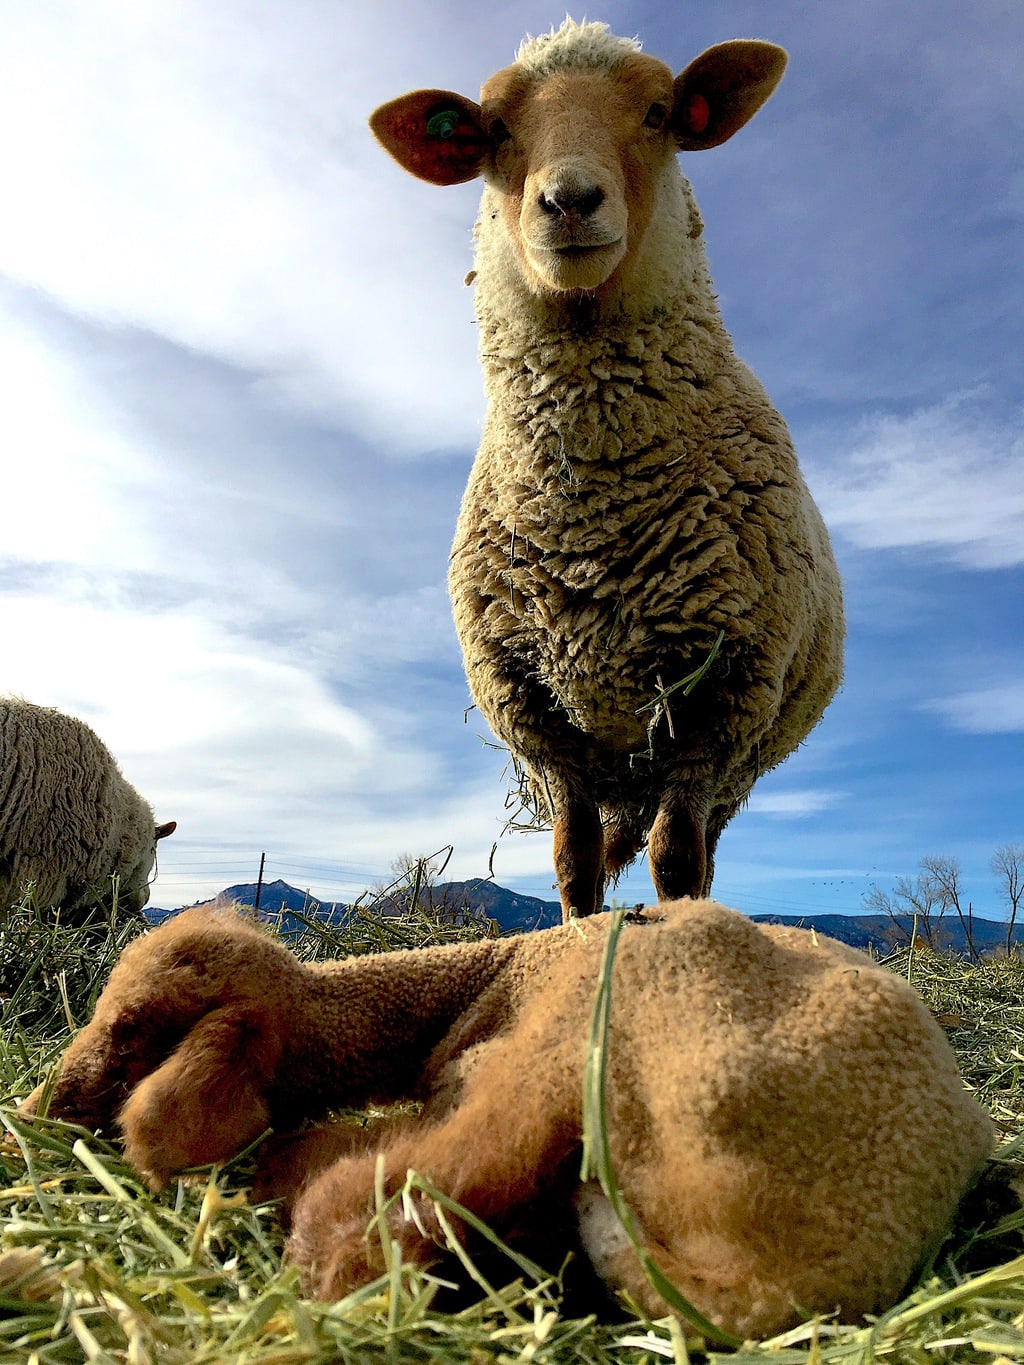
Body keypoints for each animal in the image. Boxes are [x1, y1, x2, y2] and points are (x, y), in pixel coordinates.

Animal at [370, 21, 845, 918]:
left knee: (703, 848)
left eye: (660, 114)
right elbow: (574, 857)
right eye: (492, 129)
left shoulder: (718, 697)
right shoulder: (534, 708)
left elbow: (677, 856)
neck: (593, 517)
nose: (568, 202)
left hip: (737, 760)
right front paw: (574, 933)